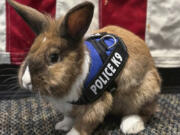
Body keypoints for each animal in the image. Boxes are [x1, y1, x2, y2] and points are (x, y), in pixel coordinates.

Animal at [7, 0, 161, 134]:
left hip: (142, 92)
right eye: (31, 50)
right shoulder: (69, 107)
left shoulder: (97, 103)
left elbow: (83, 123)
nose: (26, 81)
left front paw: (71, 133)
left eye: (54, 57)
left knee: (145, 111)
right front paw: (62, 125)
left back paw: (130, 125)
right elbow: (69, 117)